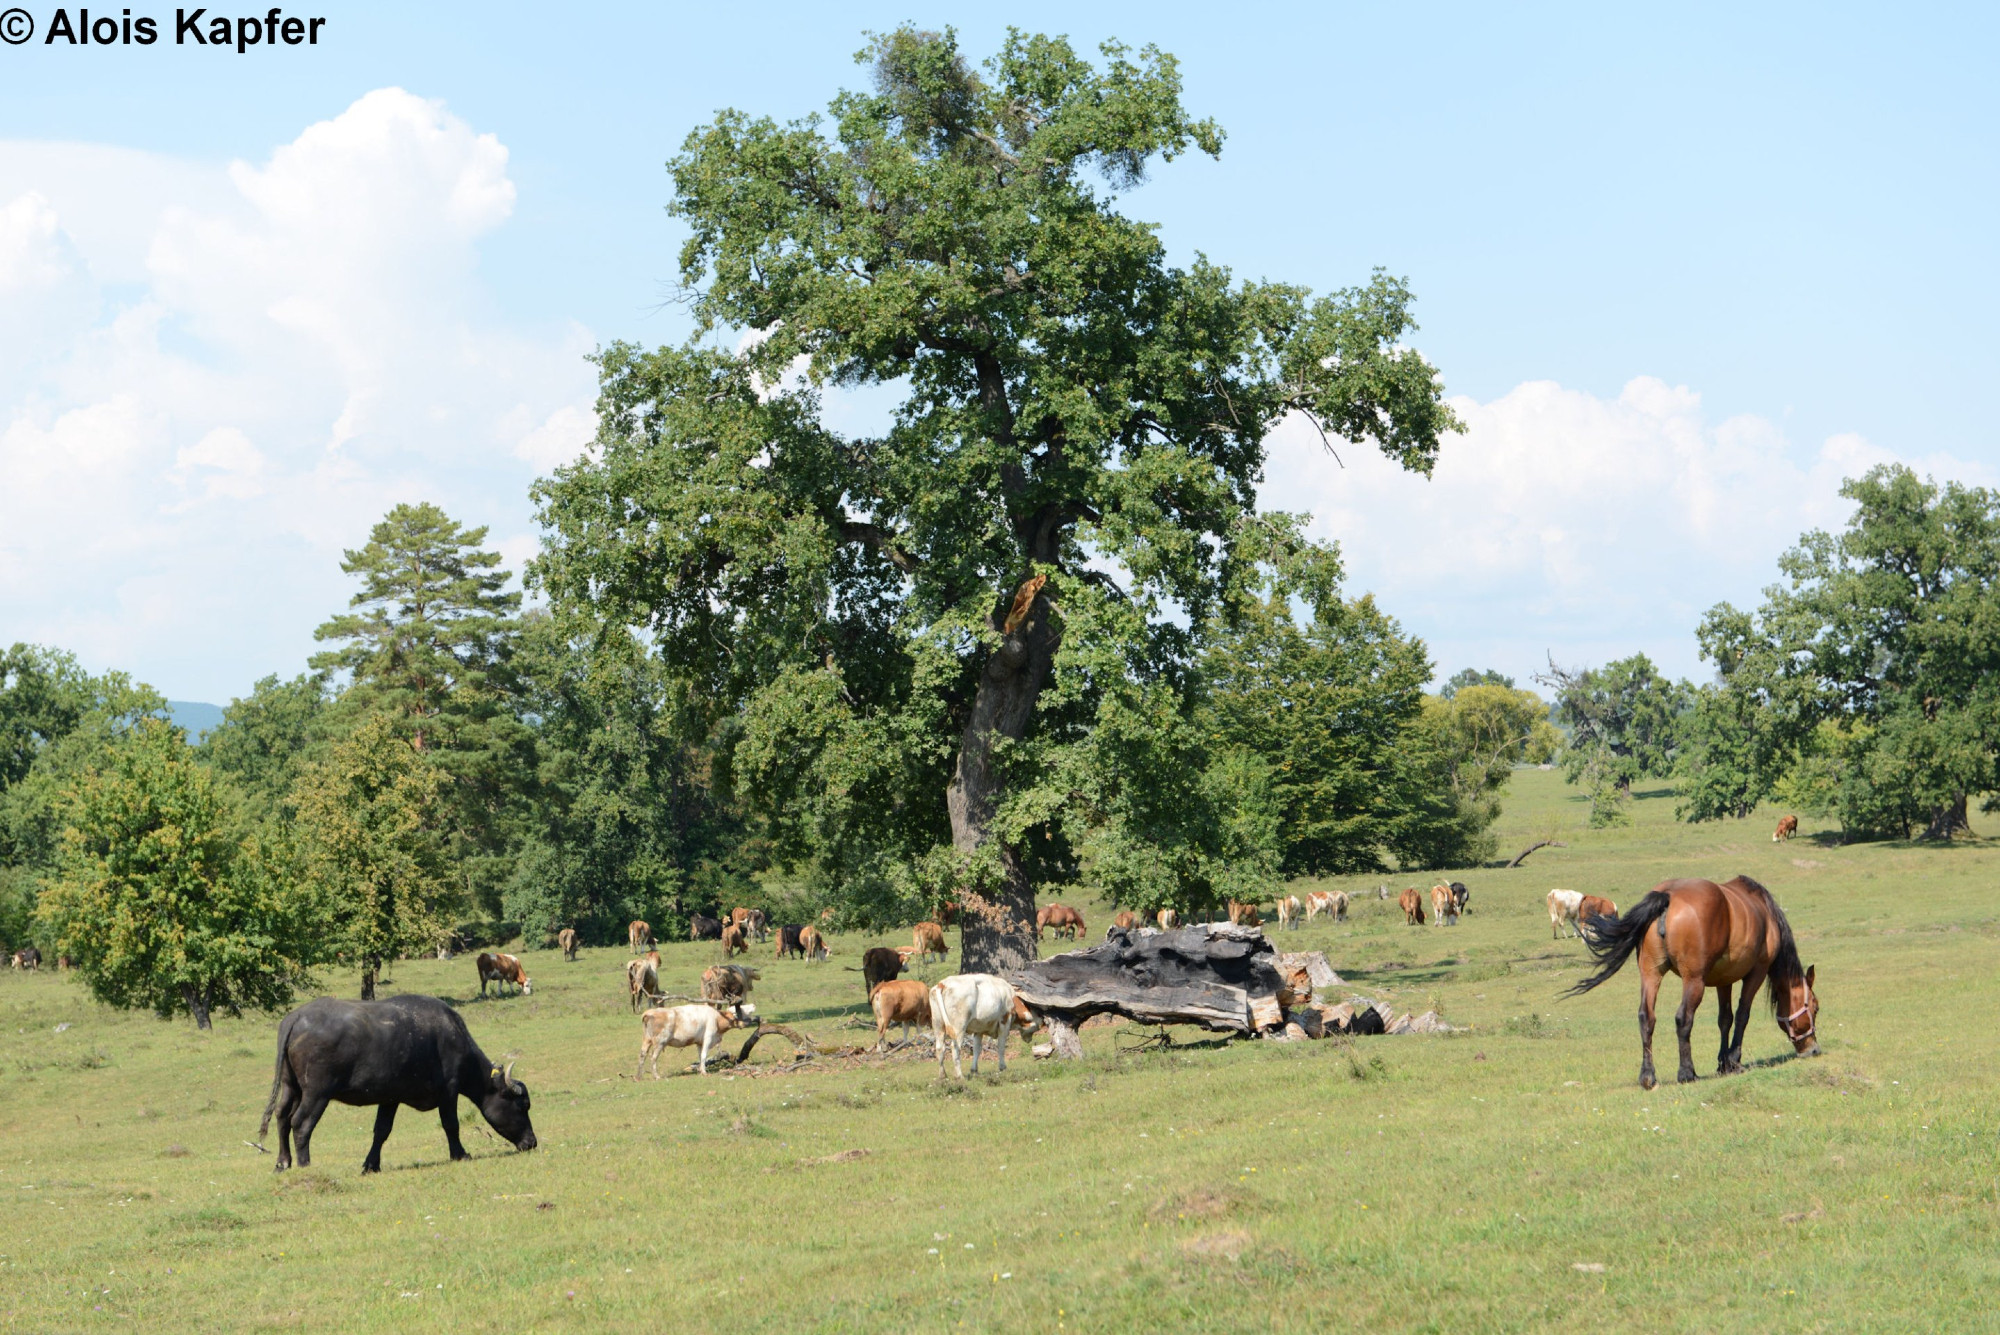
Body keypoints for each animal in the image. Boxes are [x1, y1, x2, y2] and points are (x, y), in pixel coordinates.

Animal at [258, 995, 540, 1175]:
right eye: (522, 1105)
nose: (532, 1142)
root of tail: (296, 1018)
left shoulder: (390, 1097)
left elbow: (381, 1131)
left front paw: (371, 1165)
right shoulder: (449, 1091)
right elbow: (451, 1124)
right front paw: (460, 1154)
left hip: (291, 1086)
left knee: (282, 1116)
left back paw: (282, 1163)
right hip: (317, 1092)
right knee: (300, 1122)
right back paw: (305, 1164)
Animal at [1568, 871, 1824, 1087]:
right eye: (1815, 1007)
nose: (1814, 1050)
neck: (1765, 914)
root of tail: (1668, 895)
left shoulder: (1724, 979)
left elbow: (1725, 1019)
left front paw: (1723, 1063)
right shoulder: (1757, 972)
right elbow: (1742, 1015)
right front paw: (1734, 1061)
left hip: (1651, 974)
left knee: (1646, 1018)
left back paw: (1648, 1076)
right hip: (1694, 981)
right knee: (1683, 1018)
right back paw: (1687, 1072)